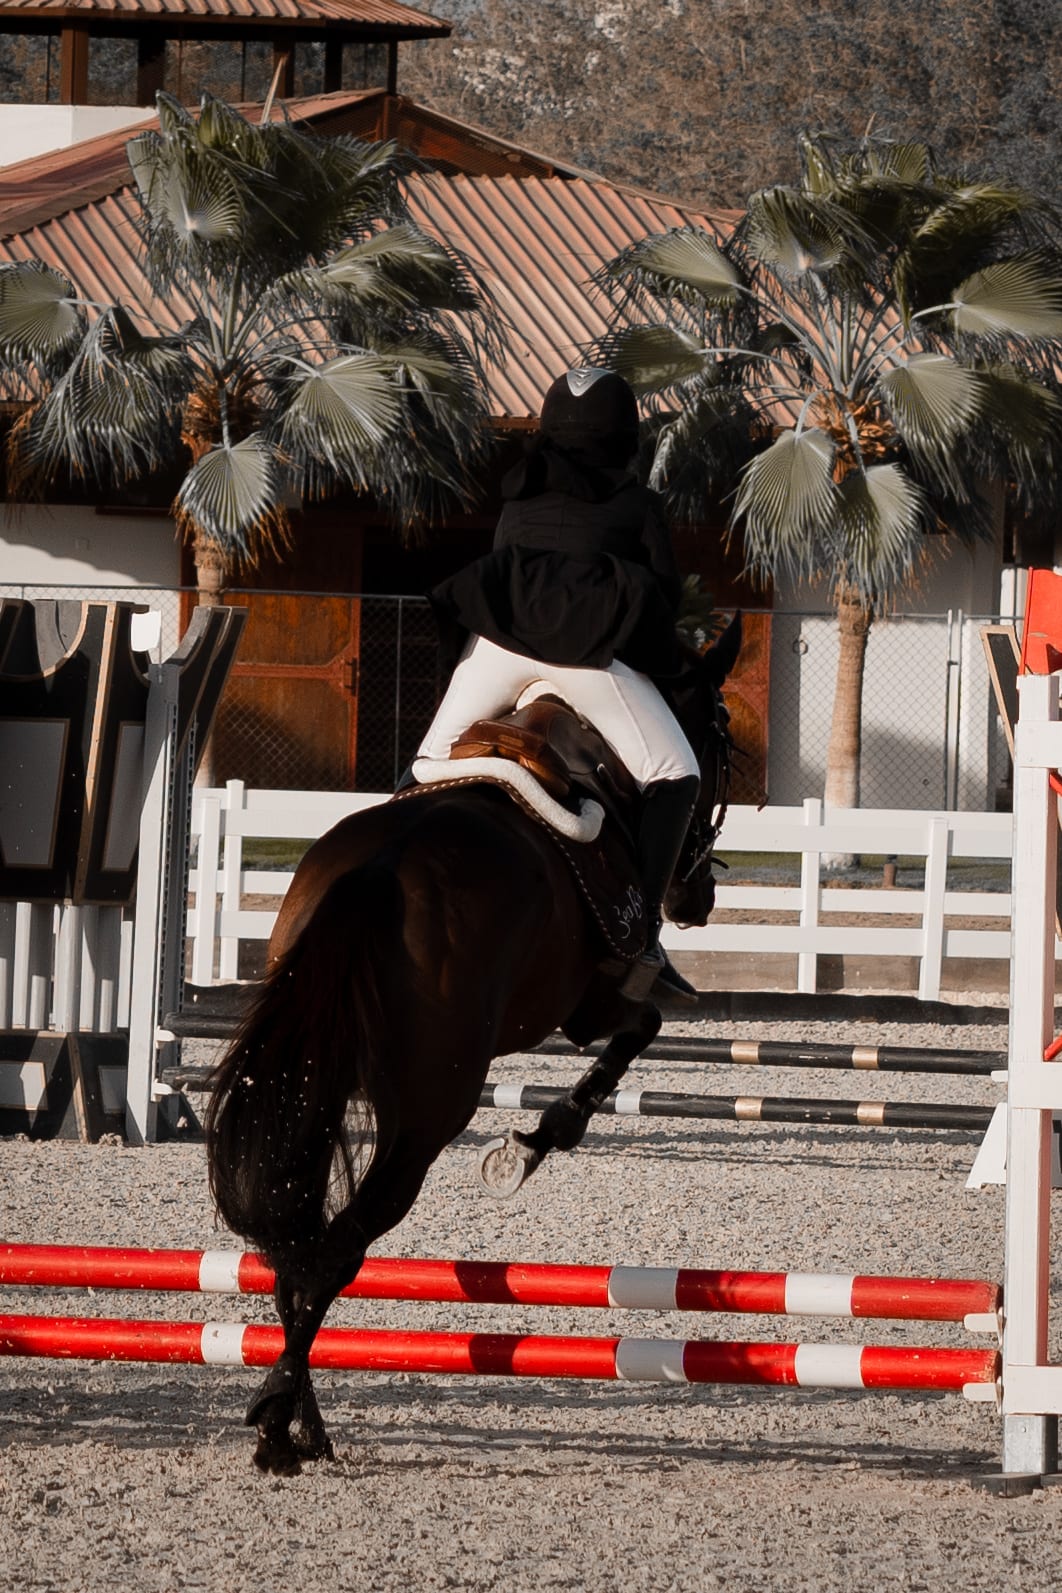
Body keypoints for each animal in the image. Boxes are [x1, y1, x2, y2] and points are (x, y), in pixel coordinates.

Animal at [205, 613, 742, 1475]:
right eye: (724, 742)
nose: (700, 897)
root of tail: (381, 868)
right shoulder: (595, 999)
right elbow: (640, 1028)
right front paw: (530, 1144)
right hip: (429, 1112)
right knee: (335, 1250)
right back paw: (279, 1419)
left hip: (317, 1085)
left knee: (297, 1248)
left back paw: (301, 1423)